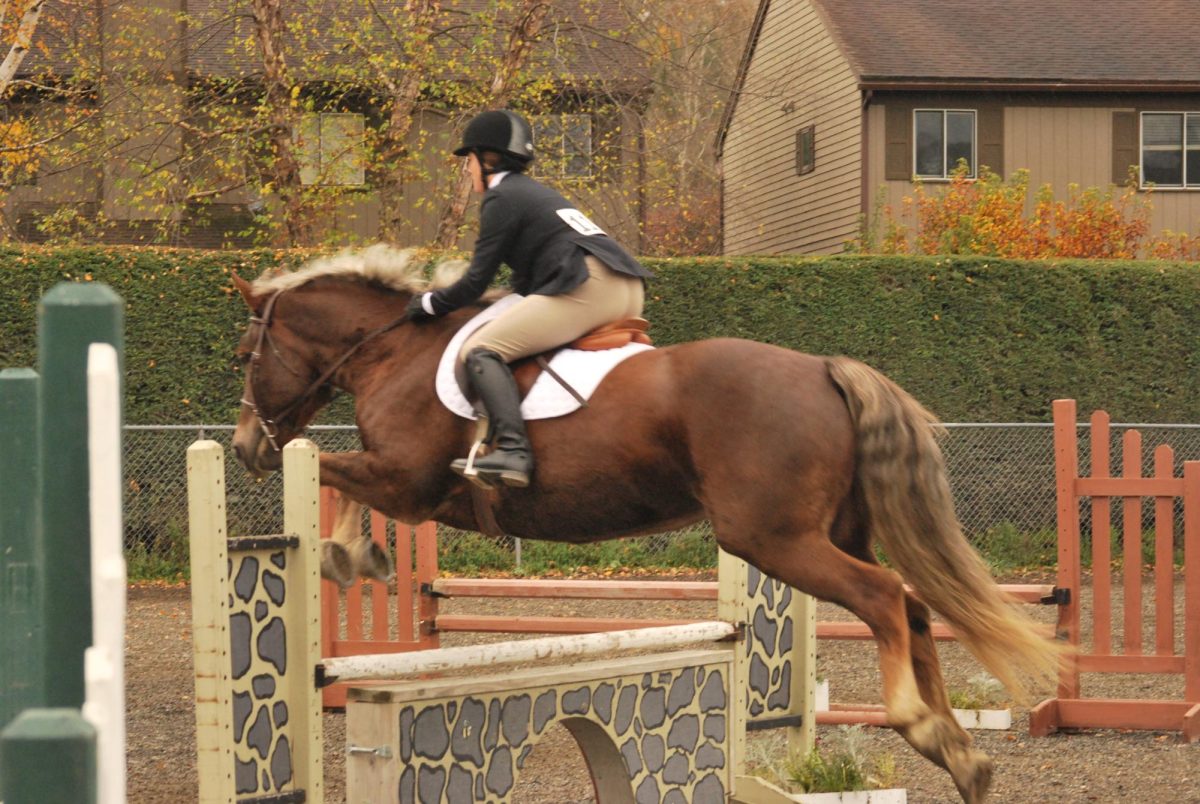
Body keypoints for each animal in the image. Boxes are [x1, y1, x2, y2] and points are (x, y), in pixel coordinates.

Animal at [231, 247, 1060, 804]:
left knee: (887, 598)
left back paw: (919, 724)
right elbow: (333, 472)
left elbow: (327, 467)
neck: (394, 351)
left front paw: (344, 553)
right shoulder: (407, 486)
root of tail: (824, 368)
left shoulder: (408, 481)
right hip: (828, 533)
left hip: (773, 539)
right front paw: (353, 552)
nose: (243, 448)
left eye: (245, 354)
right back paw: (963, 756)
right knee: (913, 605)